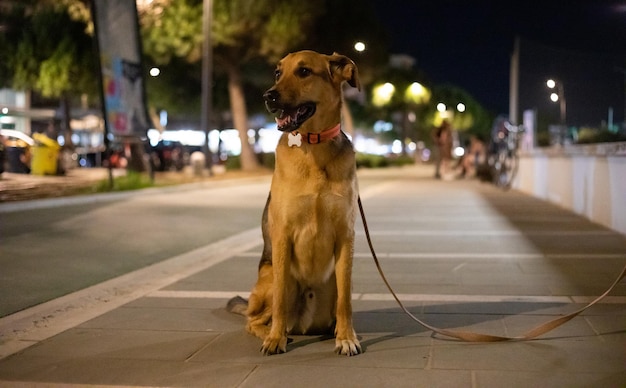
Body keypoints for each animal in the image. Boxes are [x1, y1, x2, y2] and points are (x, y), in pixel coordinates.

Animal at [241, 50, 360, 356]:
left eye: (304, 71)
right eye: (277, 73)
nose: (268, 96)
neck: (313, 146)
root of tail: (306, 326)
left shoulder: (346, 237)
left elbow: (346, 302)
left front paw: (347, 337)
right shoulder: (283, 235)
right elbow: (281, 301)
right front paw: (275, 339)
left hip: (333, 280)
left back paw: (334, 331)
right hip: (271, 277)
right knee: (254, 319)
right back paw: (274, 333)